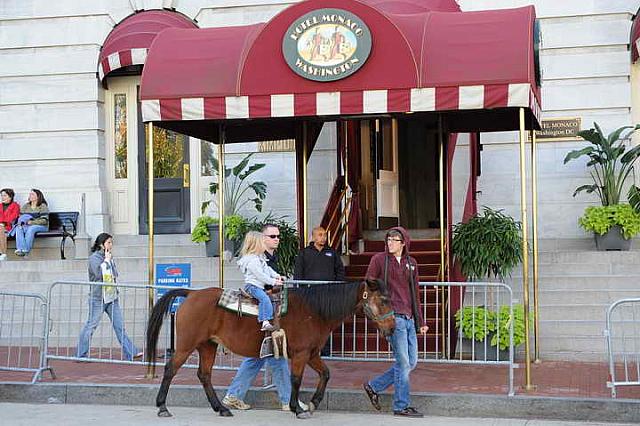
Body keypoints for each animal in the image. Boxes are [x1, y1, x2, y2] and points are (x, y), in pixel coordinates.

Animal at [146, 278, 396, 418]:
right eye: (384, 300)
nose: (393, 328)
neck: (314, 311)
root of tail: (192, 294)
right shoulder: (301, 354)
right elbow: (296, 379)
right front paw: (297, 408)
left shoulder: (312, 353)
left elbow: (326, 374)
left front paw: (313, 403)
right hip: (186, 344)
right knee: (170, 369)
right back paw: (162, 407)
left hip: (208, 345)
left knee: (204, 375)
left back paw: (221, 408)